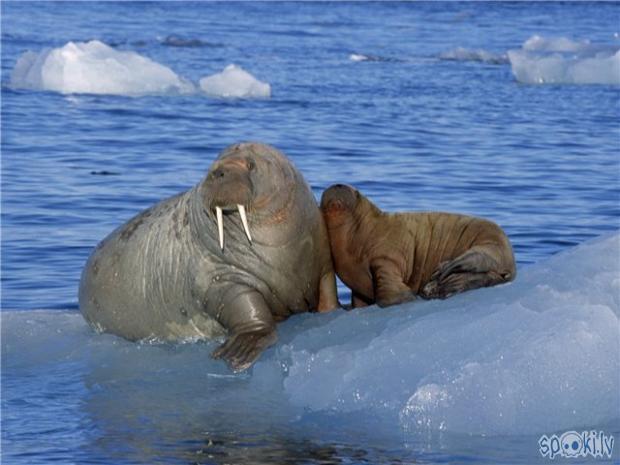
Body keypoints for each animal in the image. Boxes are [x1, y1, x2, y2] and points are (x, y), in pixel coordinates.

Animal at [80, 141, 340, 370]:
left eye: (250, 165)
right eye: (213, 164)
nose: (218, 172)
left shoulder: (323, 263)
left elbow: (328, 292)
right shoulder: (218, 278)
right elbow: (244, 307)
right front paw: (240, 351)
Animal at [318, 182, 516, 308]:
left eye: (356, 192)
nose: (338, 185)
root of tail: (512, 265)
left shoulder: (386, 258)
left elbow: (388, 284)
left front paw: (402, 298)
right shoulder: (357, 287)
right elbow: (359, 300)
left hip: (490, 244)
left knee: (472, 262)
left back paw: (440, 274)